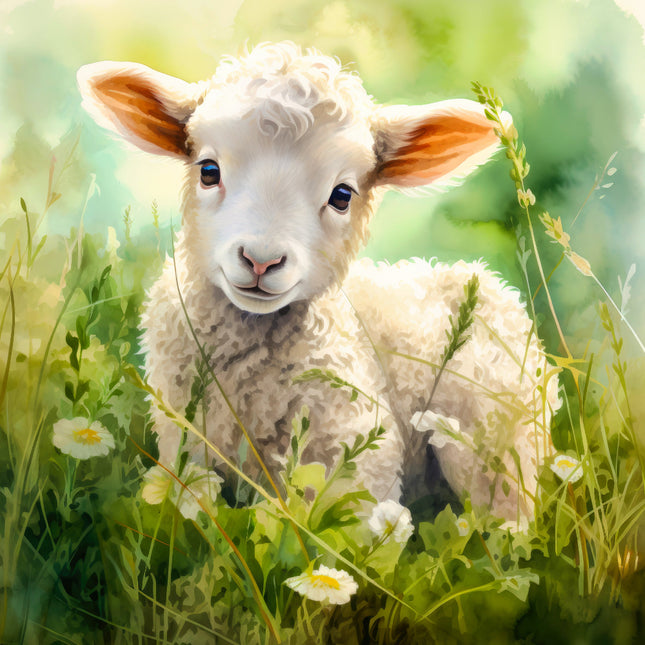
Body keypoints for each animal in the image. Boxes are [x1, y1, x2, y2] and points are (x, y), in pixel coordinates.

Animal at [77, 41, 560, 523]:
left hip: (494, 442)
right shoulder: (184, 447)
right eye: (208, 170)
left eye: (342, 195)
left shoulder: (361, 455)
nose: (261, 260)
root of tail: (481, 278)